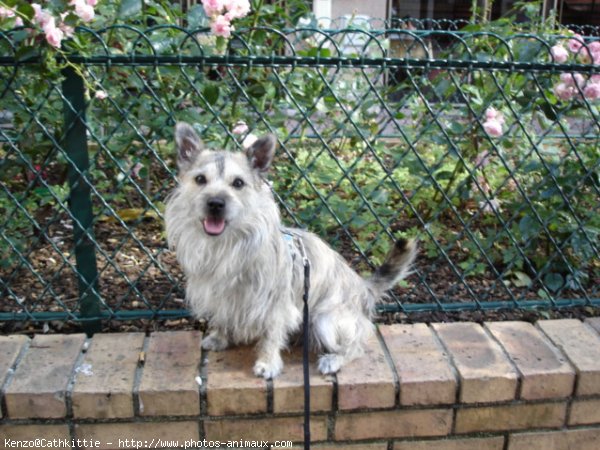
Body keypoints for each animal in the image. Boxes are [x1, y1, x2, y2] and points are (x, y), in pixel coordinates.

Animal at [164, 123, 418, 380]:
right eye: (200, 179)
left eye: (238, 183)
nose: (215, 203)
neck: (227, 245)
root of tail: (364, 287)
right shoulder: (222, 295)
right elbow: (224, 317)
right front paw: (220, 337)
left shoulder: (277, 304)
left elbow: (271, 334)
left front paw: (267, 363)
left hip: (323, 319)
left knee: (356, 347)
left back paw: (333, 359)